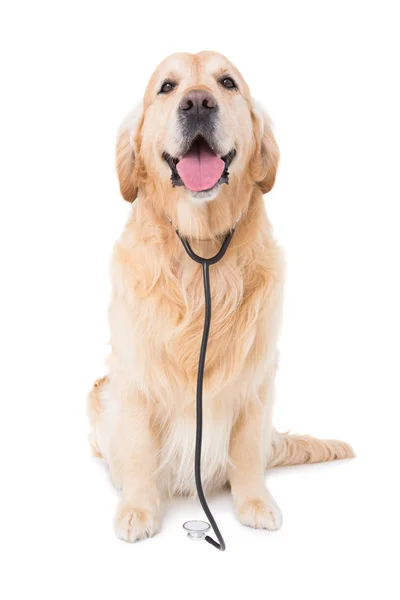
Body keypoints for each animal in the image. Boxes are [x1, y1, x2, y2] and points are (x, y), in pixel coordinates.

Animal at [87, 49, 354, 540]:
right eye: (167, 86)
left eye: (227, 82)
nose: (197, 102)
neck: (202, 252)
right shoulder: (134, 374)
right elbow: (137, 447)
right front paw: (137, 509)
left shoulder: (255, 376)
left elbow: (246, 450)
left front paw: (256, 503)